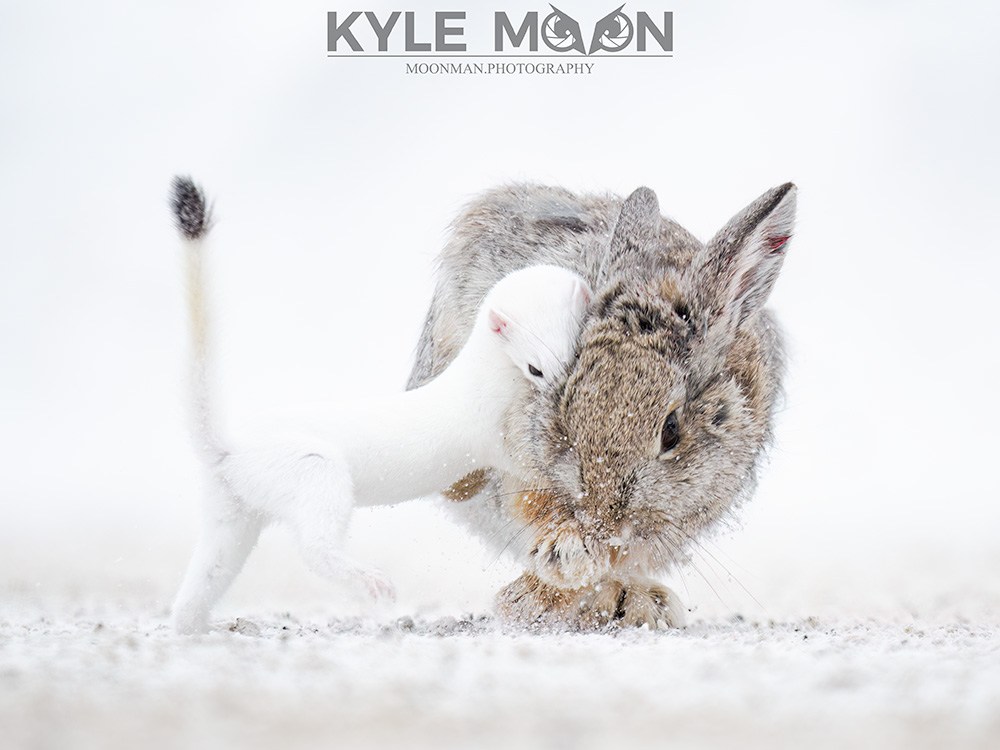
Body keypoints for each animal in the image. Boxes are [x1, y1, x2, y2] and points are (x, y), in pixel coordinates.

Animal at [168, 177, 593, 634]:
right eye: (535, 367)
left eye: (574, 351)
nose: (558, 390)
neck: (483, 376)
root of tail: (230, 447)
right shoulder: (491, 430)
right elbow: (520, 462)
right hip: (315, 472)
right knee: (315, 548)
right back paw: (373, 582)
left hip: (230, 510)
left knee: (208, 572)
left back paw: (198, 625)